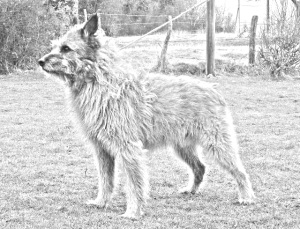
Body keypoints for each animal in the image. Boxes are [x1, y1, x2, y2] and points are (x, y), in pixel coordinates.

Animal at [38, 13, 255, 219]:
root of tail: (212, 88)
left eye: (66, 48)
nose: (40, 61)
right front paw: (101, 202)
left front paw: (133, 212)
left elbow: (135, 184)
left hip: (218, 144)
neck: (100, 81)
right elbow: (106, 180)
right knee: (200, 167)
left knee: (240, 171)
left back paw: (246, 197)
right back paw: (191, 190)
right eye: (56, 46)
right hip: (182, 147)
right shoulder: (102, 150)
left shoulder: (129, 148)